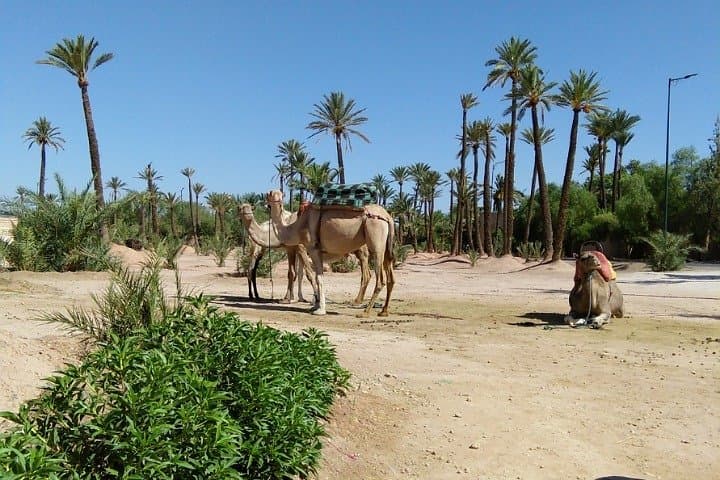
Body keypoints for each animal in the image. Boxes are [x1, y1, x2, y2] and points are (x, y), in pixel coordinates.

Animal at [265, 189, 395, 317]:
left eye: (269, 195)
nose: (267, 201)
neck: (297, 226)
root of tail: (387, 216)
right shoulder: (318, 252)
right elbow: (317, 276)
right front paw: (315, 306)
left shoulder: (313, 249)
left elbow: (318, 278)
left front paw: (320, 310)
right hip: (386, 246)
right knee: (390, 276)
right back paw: (384, 311)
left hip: (375, 236)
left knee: (380, 279)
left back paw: (365, 312)